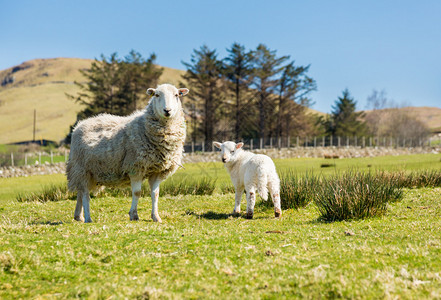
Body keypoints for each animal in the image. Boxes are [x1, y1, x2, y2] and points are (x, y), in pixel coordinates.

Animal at [66, 84, 188, 223]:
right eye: (157, 95)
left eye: (176, 95)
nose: (167, 110)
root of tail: (79, 125)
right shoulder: (135, 168)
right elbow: (137, 193)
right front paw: (134, 215)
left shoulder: (157, 171)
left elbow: (155, 194)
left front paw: (156, 217)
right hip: (82, 169)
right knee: (85, 194)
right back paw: (88, 218)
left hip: (88, 173)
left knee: (80, 192)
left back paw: (78, 216)